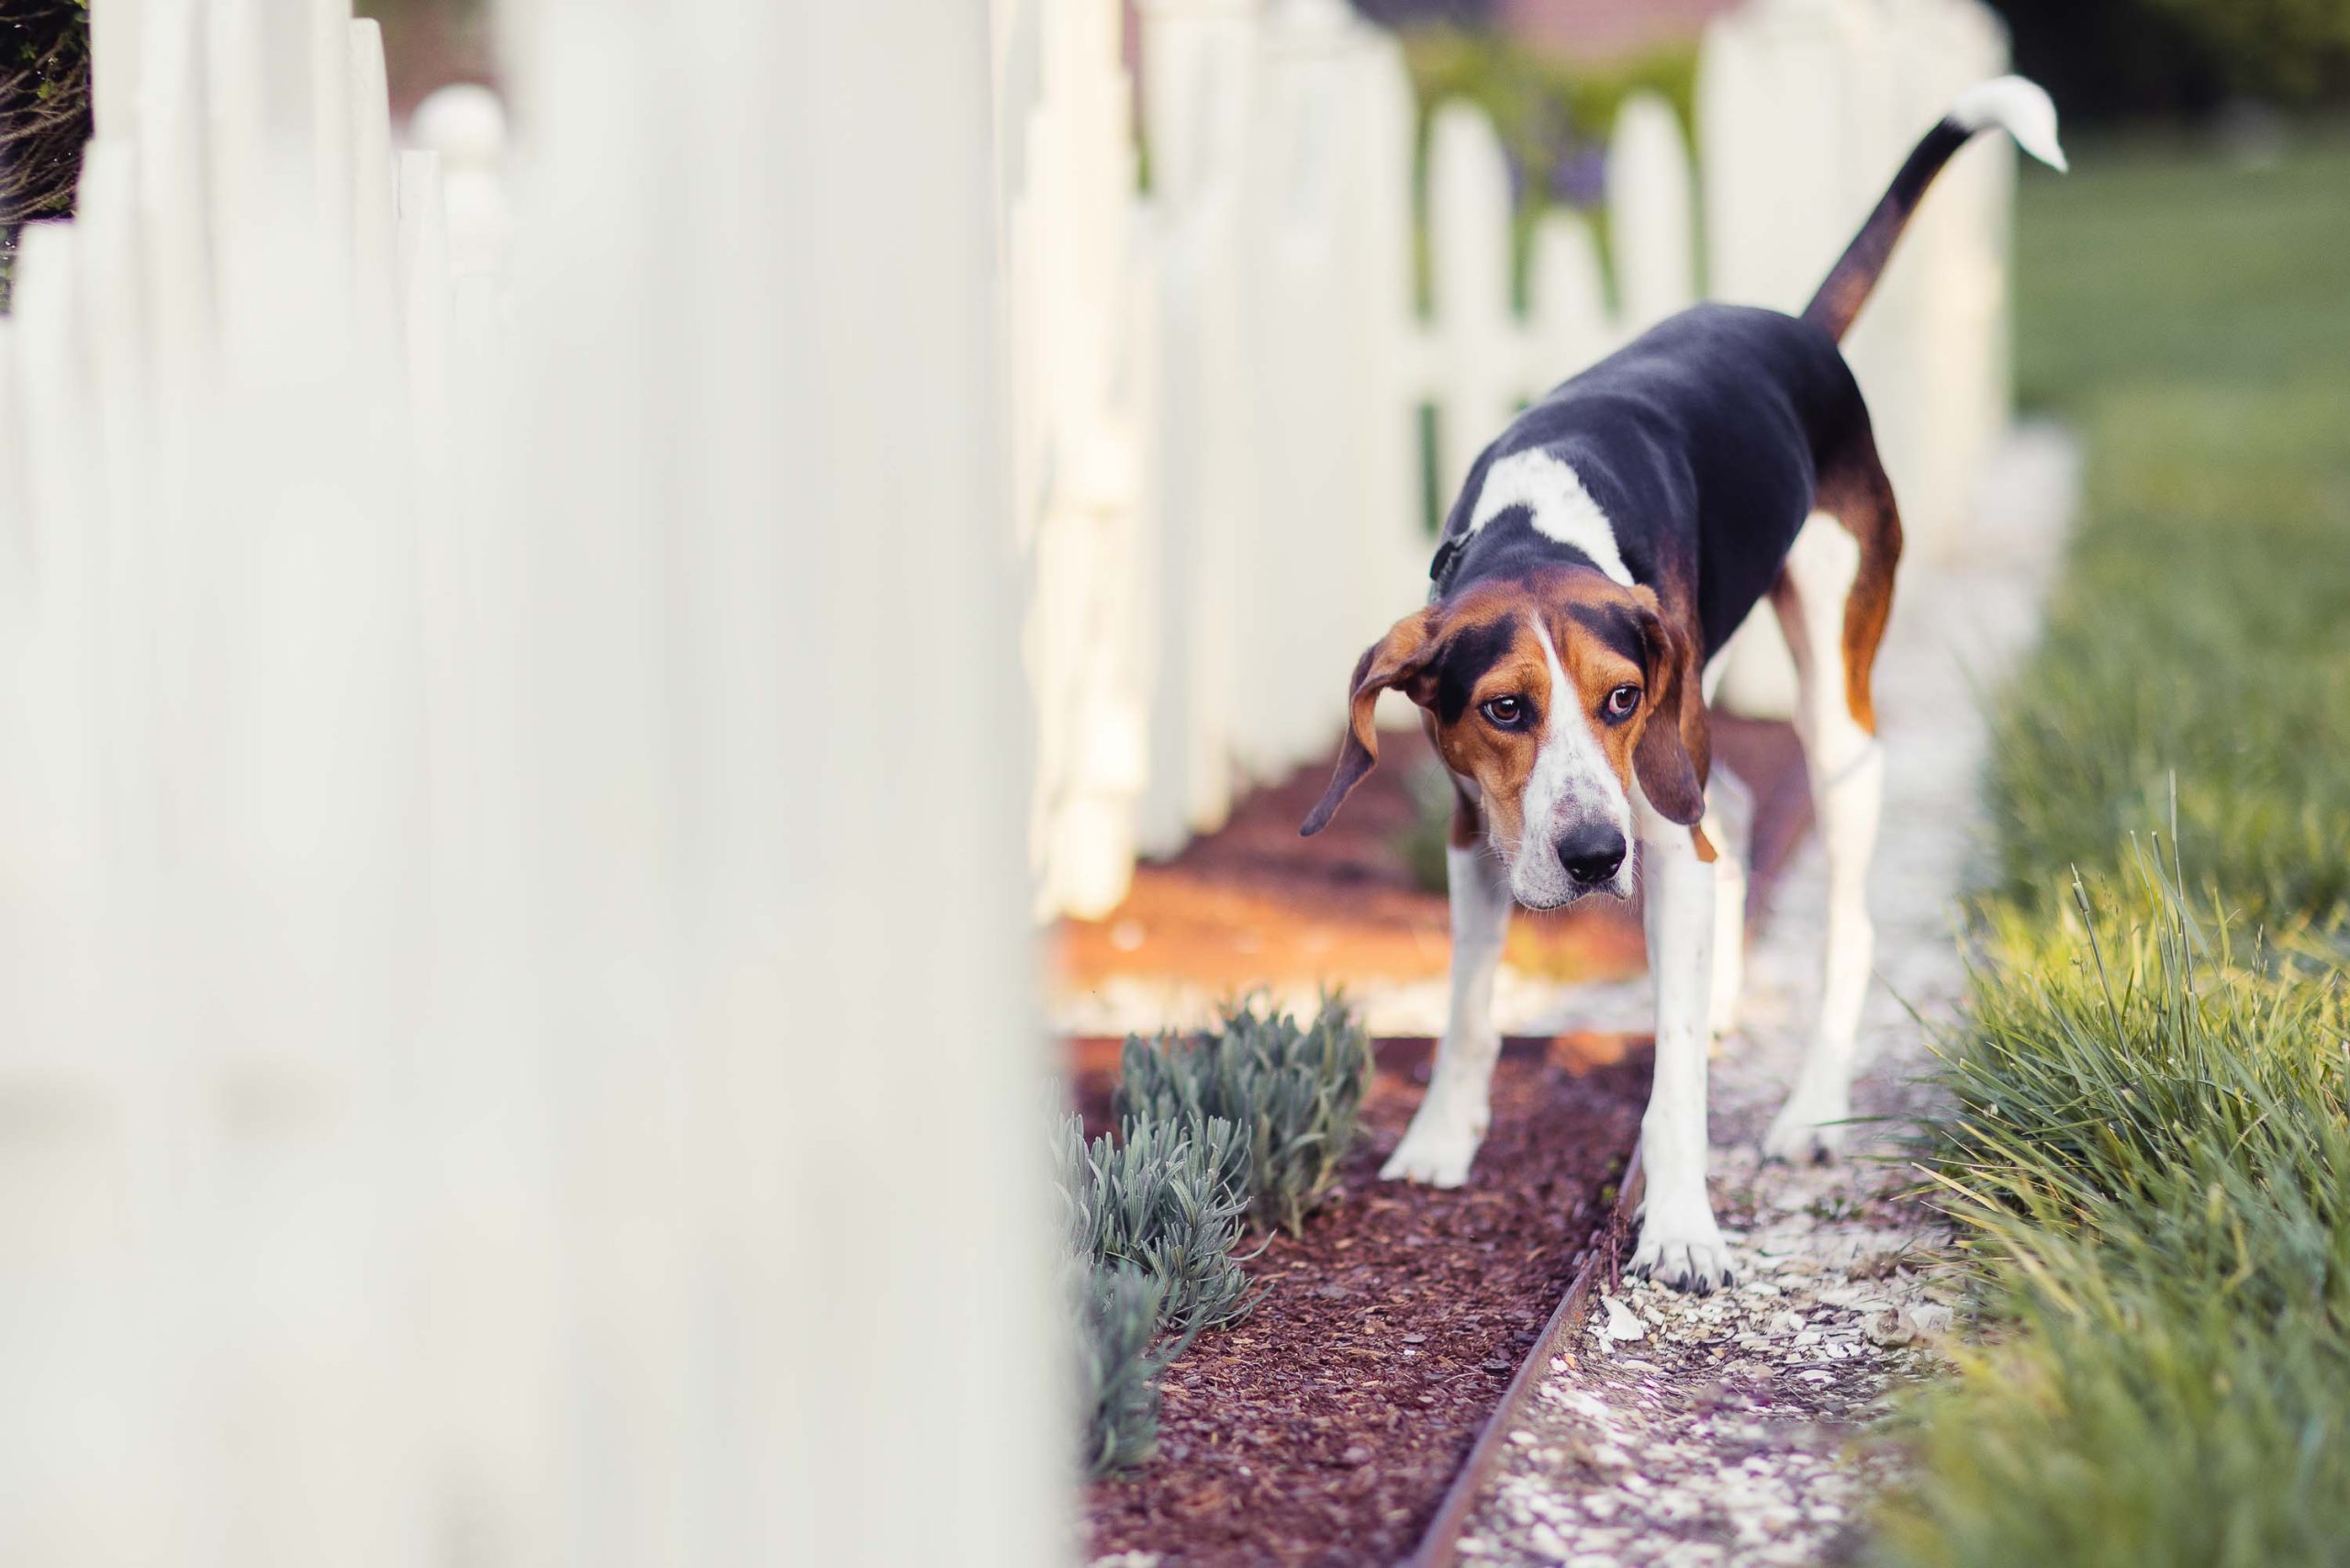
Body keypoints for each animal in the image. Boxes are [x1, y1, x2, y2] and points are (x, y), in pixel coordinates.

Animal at [1297, 76, 2067, 1297]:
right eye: (1503, 708)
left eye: (1616, 699)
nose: (1592, 859)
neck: (1535, 529)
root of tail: (1796, 327)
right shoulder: (1479, 828)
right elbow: (1468, 1005)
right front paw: (1441, 1135)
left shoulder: (1654, 803)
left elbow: (1671, 1088)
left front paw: (1682, 1227)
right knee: (1734, 810)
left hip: (1826, 715)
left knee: (1840, 915)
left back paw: (1806, 1105)